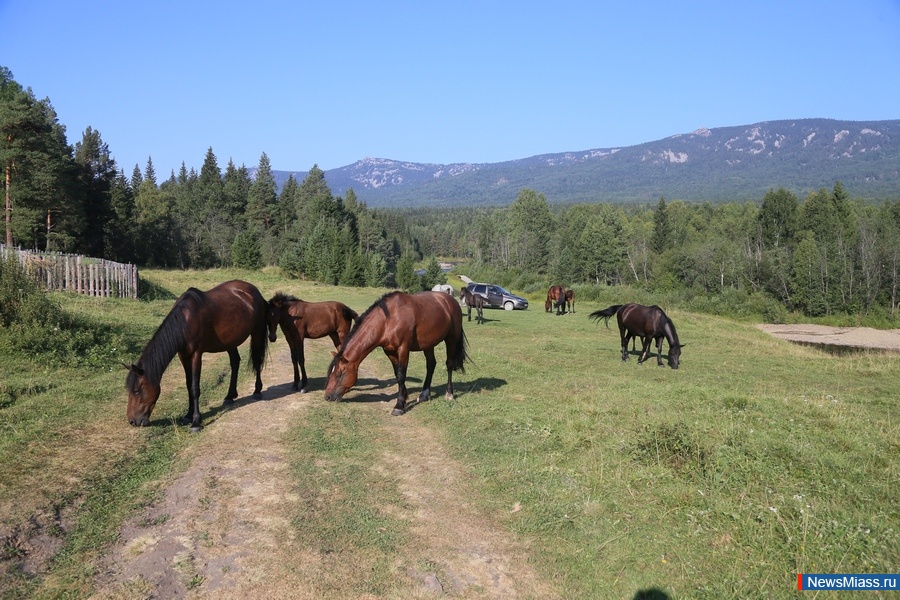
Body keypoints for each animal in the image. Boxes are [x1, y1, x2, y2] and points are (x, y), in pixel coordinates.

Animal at [125, 282, 268, 432]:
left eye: (137, 390)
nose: (132, 421)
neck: (186, 321)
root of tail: (254, 291)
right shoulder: (183, 356)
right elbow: (188, 385)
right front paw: (188, 416)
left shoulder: (196, 355)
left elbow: (194, 388)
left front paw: (195, 422)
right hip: (230, 342)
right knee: (235, 362)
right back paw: (229, 396)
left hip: (257, 333)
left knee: (257, 361)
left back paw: (257, 391)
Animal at [326, 292, 472, 418]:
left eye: (339, 373)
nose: (327, 396)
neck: (388, 320)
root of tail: (450, 300)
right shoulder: (389, 351)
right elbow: (397, 375)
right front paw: (404, 398)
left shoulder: (403, 349)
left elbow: (402, 375)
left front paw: (399, 406)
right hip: (428, 344)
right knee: (431, 365)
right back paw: (424, 395)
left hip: (451, 338)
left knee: (449, 364)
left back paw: (449, 394)